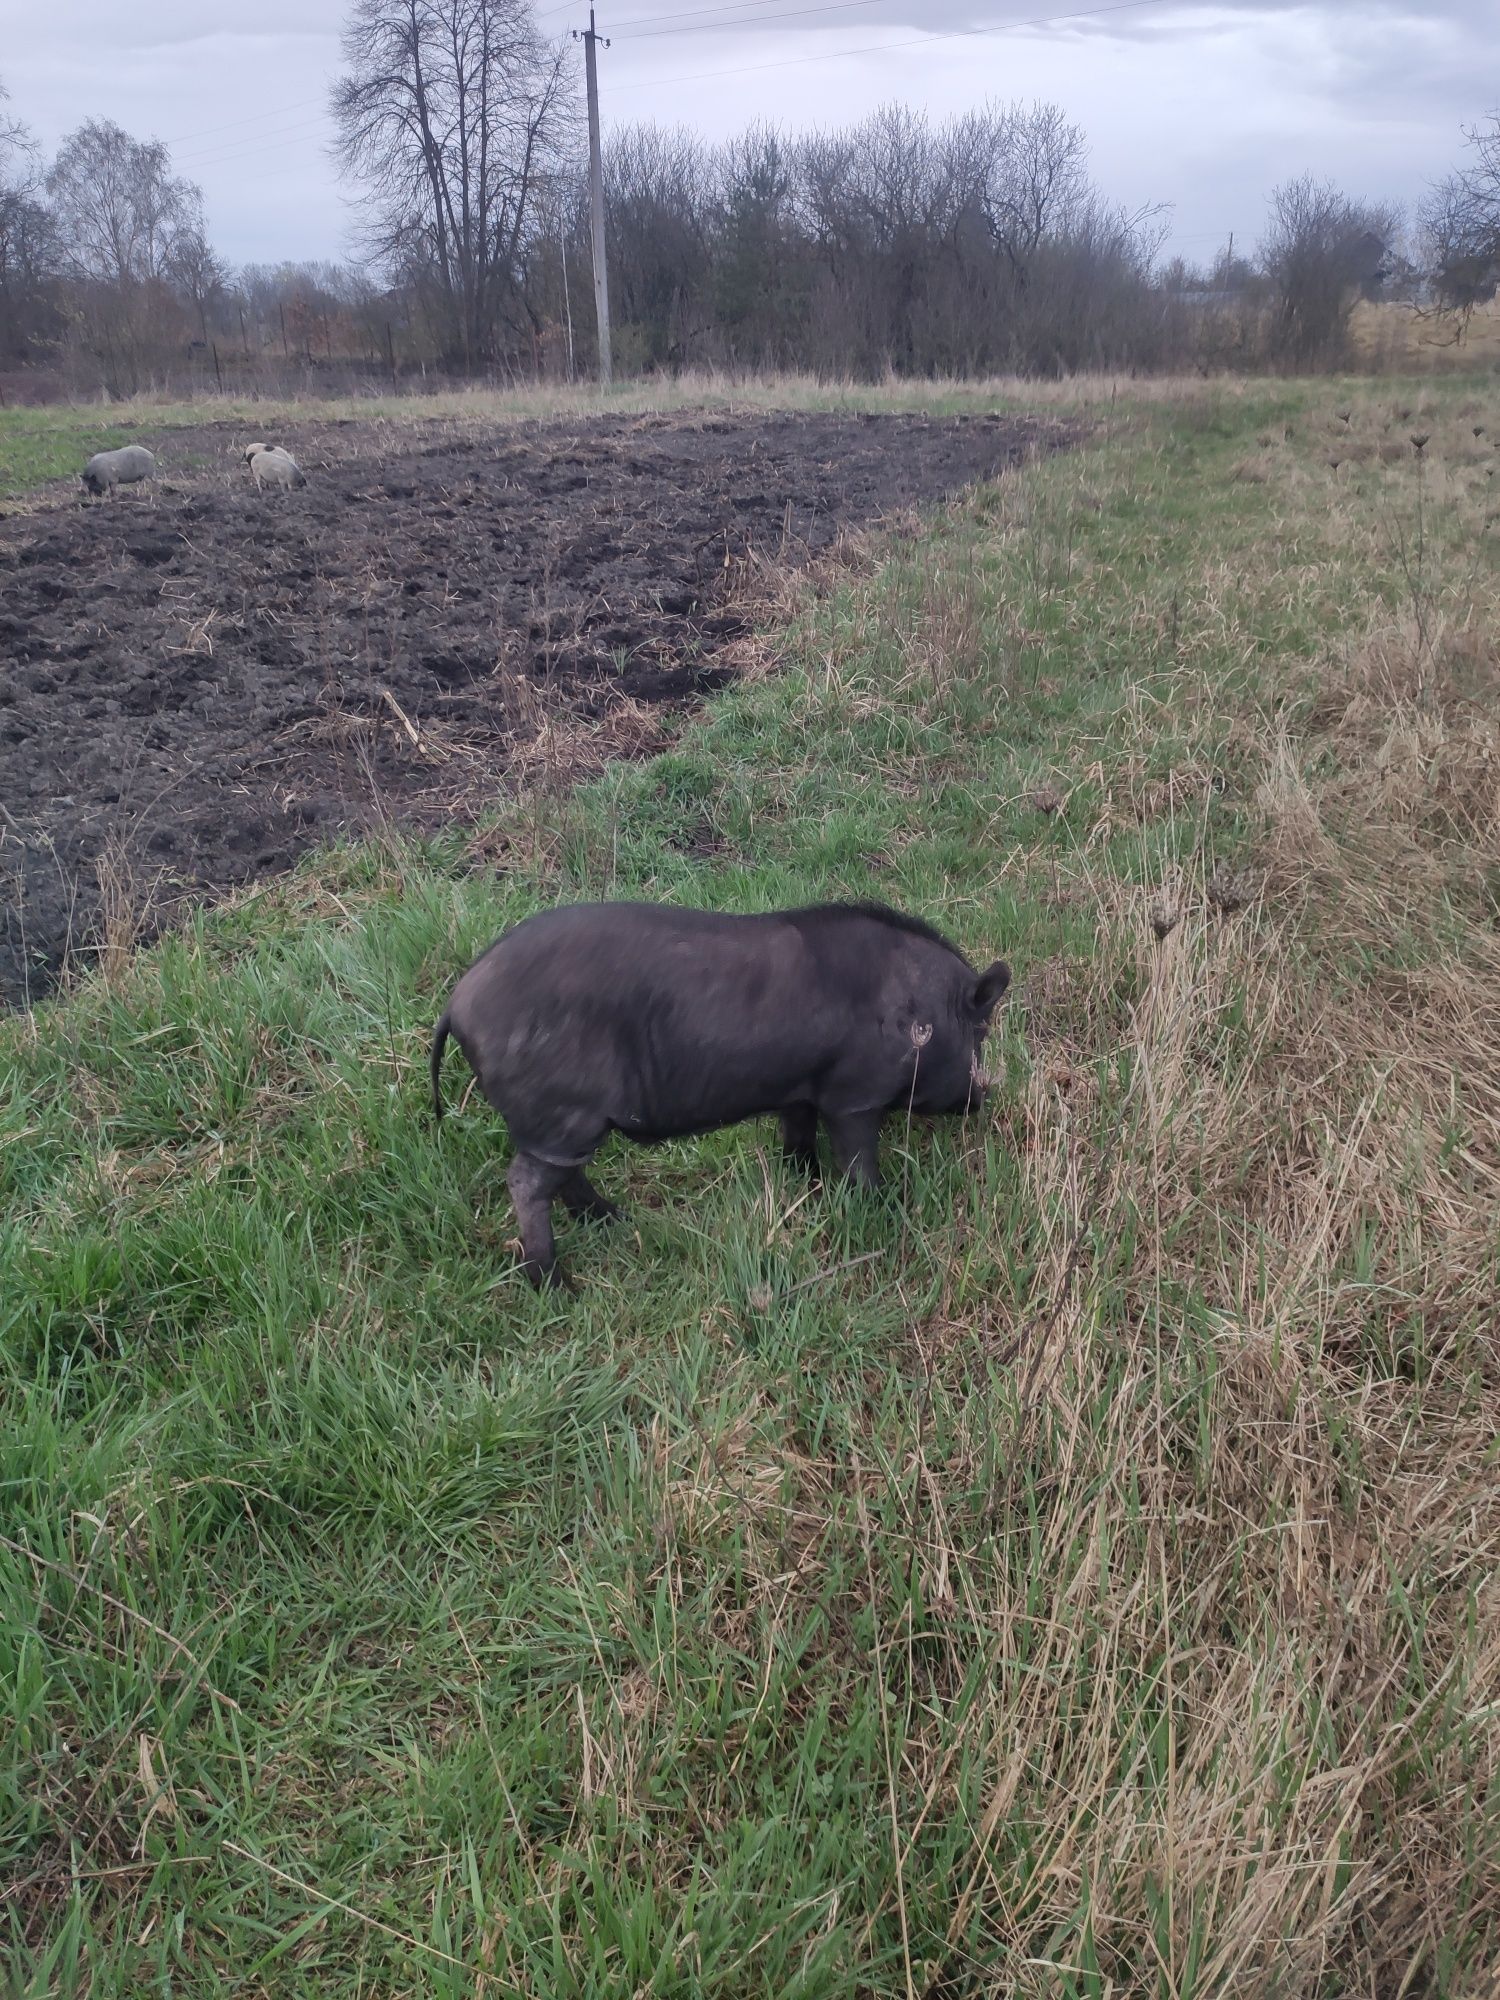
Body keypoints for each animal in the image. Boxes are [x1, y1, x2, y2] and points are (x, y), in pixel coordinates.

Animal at [432, 900, 1012, 1288]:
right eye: (980, 1033)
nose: (981, 1100)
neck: (918, 1015)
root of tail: (457, 1004)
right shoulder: (854, 1096)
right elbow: (858, 1160)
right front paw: (883, 1206)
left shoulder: (800, 1090)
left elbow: (798, 1137)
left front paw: (805, 1184)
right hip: (562, 1114)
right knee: (526, 1182)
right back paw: (558, 1285)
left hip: (566, 1127)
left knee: (564, 1177)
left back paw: (616, 1220)